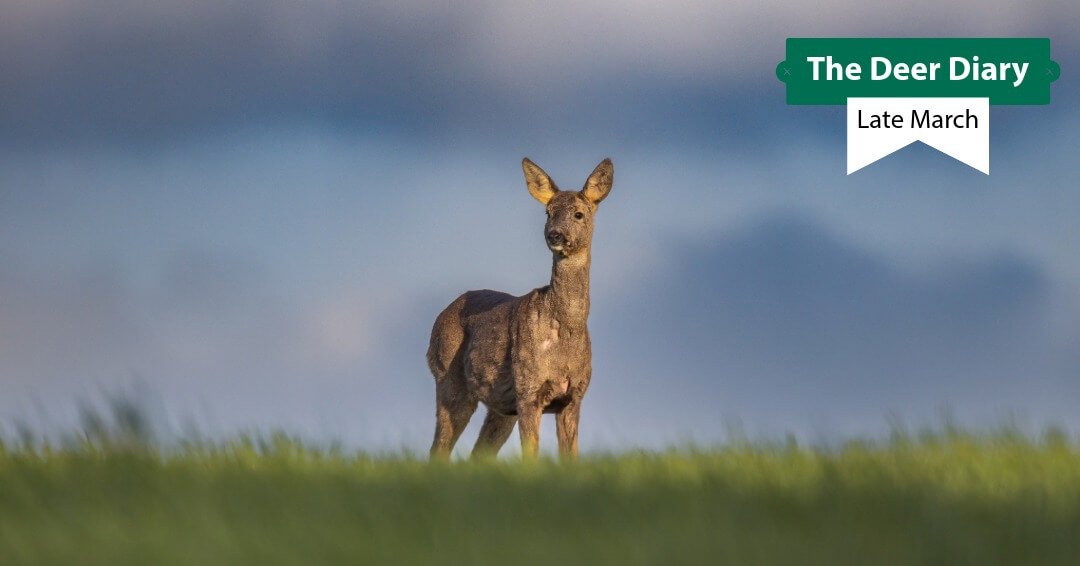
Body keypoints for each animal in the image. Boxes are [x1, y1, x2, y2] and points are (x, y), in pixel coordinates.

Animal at [426, 157, 613, 461]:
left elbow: (571, 457)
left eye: (578, 214)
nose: (554, 234)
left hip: (501, 407)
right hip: (447, 378)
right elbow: (530, 456)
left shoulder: (574, 396)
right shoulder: (528, 390)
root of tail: (442, 314)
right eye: (548, 212)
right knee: (438, 449)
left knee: (477, 453)